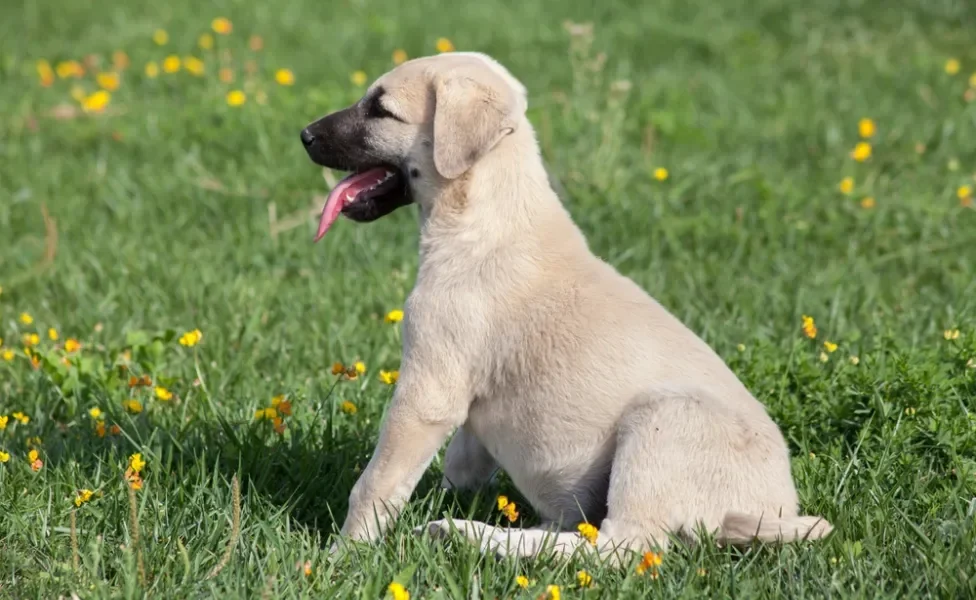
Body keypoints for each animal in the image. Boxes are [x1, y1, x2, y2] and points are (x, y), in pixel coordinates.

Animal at [300, 52, 832, 564]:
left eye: (381, 109)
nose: (303, 135)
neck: (488, 214)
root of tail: (773, 511)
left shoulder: (428, 389)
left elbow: (376, 482)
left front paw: (342, 556)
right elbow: (462, 462)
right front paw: (445, 496)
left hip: (663, 423)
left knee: (619, 547)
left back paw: (471, 536)